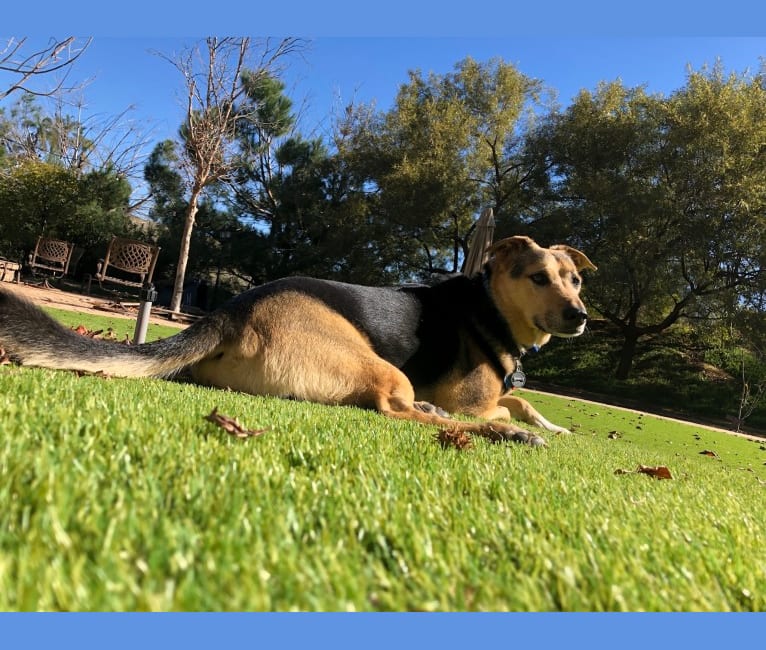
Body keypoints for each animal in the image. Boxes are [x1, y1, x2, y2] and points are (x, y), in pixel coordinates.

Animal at [0, 234, 600, 446]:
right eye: (538, 278)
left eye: (575, 278)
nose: (579, 316)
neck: (491, 309)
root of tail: (233, 311)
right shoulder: (472, 399)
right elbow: (506, 403)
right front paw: (528, 424)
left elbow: (524, 399)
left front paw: (554, 421)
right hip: (375, 363)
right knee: (398, 411)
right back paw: (508, 437)